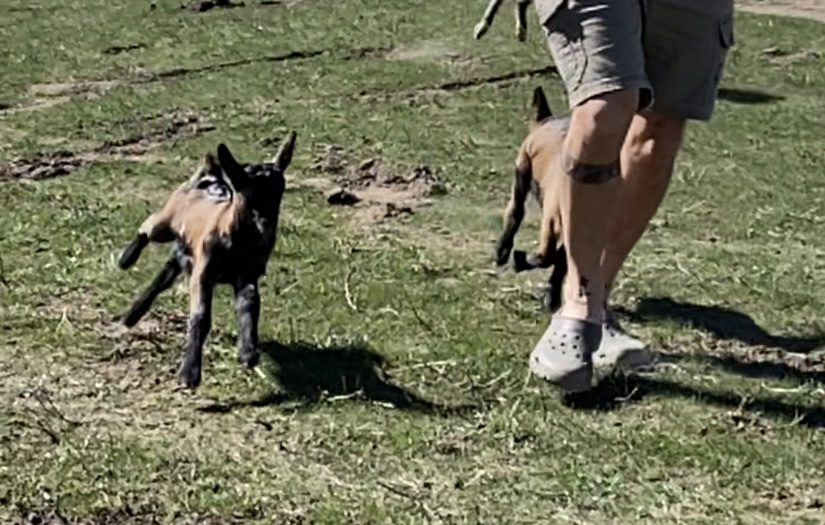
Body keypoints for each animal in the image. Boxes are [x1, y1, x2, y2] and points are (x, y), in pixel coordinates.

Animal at [117, 133, 297, 389]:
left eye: (279, 190)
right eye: (246, 192)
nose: (265, 225)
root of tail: (209, 180)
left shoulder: (247, 275)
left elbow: (249, 304)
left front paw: (248, 352)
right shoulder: (203, 274)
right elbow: (201, 316)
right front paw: (189, 373)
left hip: (183, 252)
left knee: (164, 275)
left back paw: (133, 314)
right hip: (166, 223)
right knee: (147, 226)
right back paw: (126, 259)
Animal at [493, 86, 568, 312]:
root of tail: (545, 120)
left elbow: (560, 260)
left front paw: (552, 297)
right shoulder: (551, 223)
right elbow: (546, 256)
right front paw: (519, 260)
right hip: (521, 172)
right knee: (515, 212)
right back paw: (503, 250)